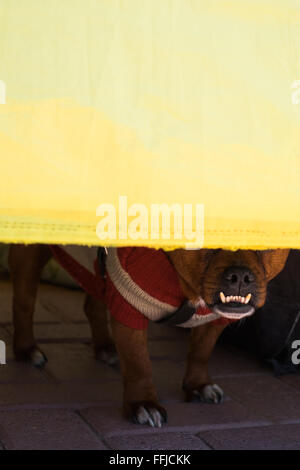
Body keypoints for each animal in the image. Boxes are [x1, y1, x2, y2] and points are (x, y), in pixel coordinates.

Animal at [9, 246, 288, 426]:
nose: (240, 275)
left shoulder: (215, 320)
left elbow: (201, 351)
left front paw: (199, 385)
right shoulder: (129, 304)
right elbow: (138, 363)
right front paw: (143, 403)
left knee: (94, 301)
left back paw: (105, 347)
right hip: (30, 254)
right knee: (23, 302)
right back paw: (26, 349)